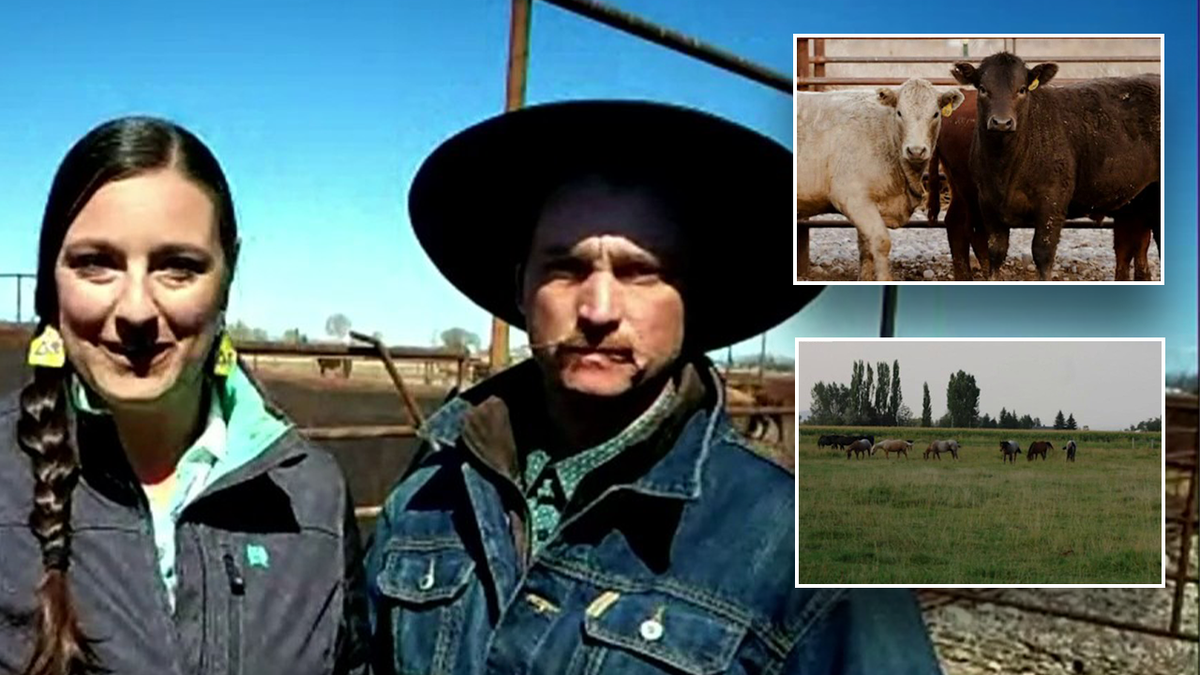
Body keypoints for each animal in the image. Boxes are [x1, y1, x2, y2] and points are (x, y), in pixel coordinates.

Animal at [796, 78, 964, 278]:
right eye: (899, 113)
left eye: (936, 114)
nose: (916, 150)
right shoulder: (853, 198)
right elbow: (881, 242)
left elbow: (866, 250)